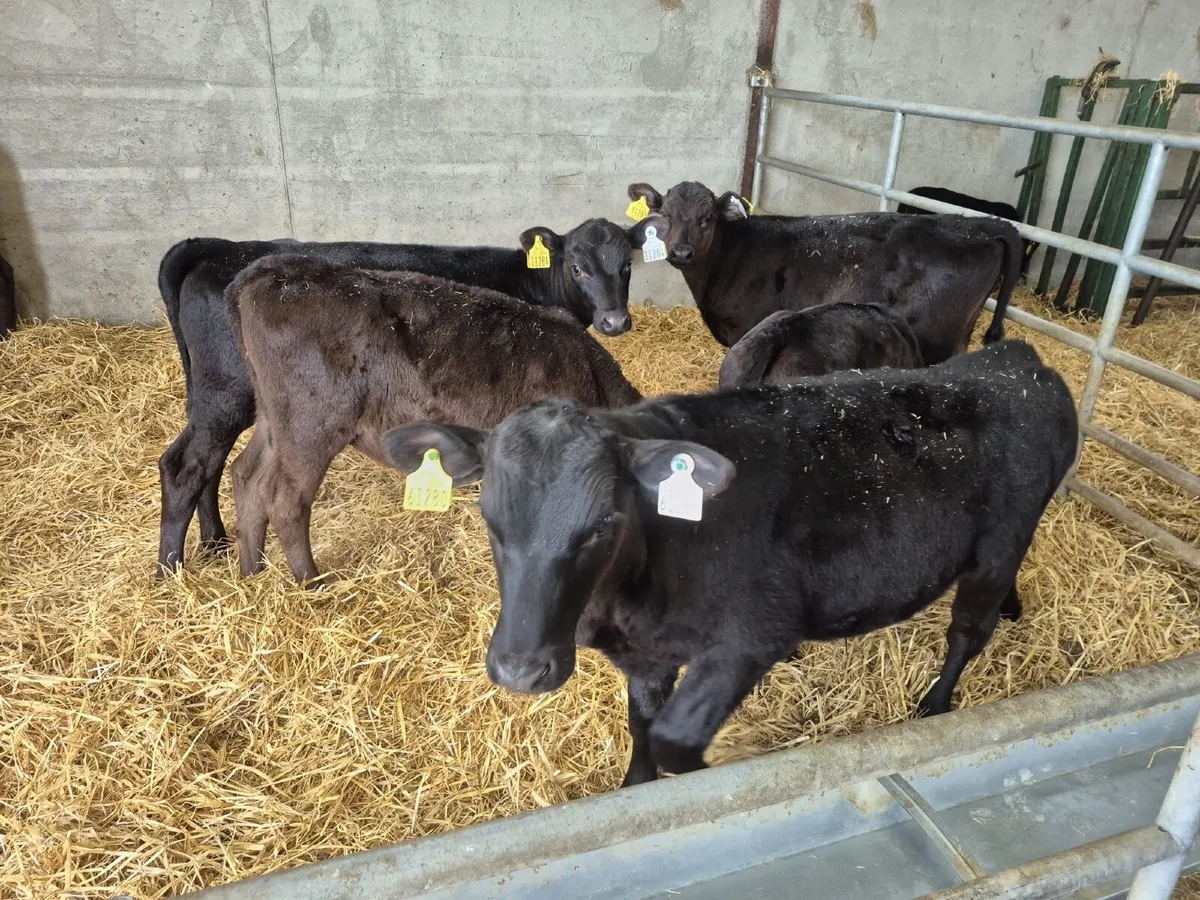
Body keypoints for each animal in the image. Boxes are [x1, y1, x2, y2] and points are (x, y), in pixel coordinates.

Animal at [156, 217, 659, 575]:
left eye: (628, 266)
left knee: (244, 475)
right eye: (577, 266)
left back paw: (248, 569)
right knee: (256, 489)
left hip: (270, 416)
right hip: (298, 420)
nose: (616, 320)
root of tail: (258, 270)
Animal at [383, 339, 1077, 787]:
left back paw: (935, 706)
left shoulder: (751, 637)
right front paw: (636, 785)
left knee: (966, 632)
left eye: (603, 523)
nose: (521, 669)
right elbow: (642, 726)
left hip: (997, 547)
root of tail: (1018, 359)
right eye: (489, 517)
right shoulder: (648, 656)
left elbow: (674, 739)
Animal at [625, 181, 1022, 360]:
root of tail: (979, 225)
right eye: (667, 216)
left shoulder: (746, 329)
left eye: (707, 218)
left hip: (934, 338)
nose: (681, 252)